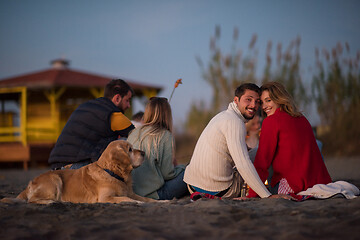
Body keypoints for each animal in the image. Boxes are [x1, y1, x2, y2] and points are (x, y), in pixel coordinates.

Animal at [1, 141, 156, 204]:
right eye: (130, 149)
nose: (143, 153)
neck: (113, 173)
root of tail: (30, 183)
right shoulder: (105, 197)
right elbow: (127, 199)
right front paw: (137, 203)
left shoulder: (130, 192)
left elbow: (148, 199)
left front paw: (161, 202)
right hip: (55, 179)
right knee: (32, 200)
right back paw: (51, 202)